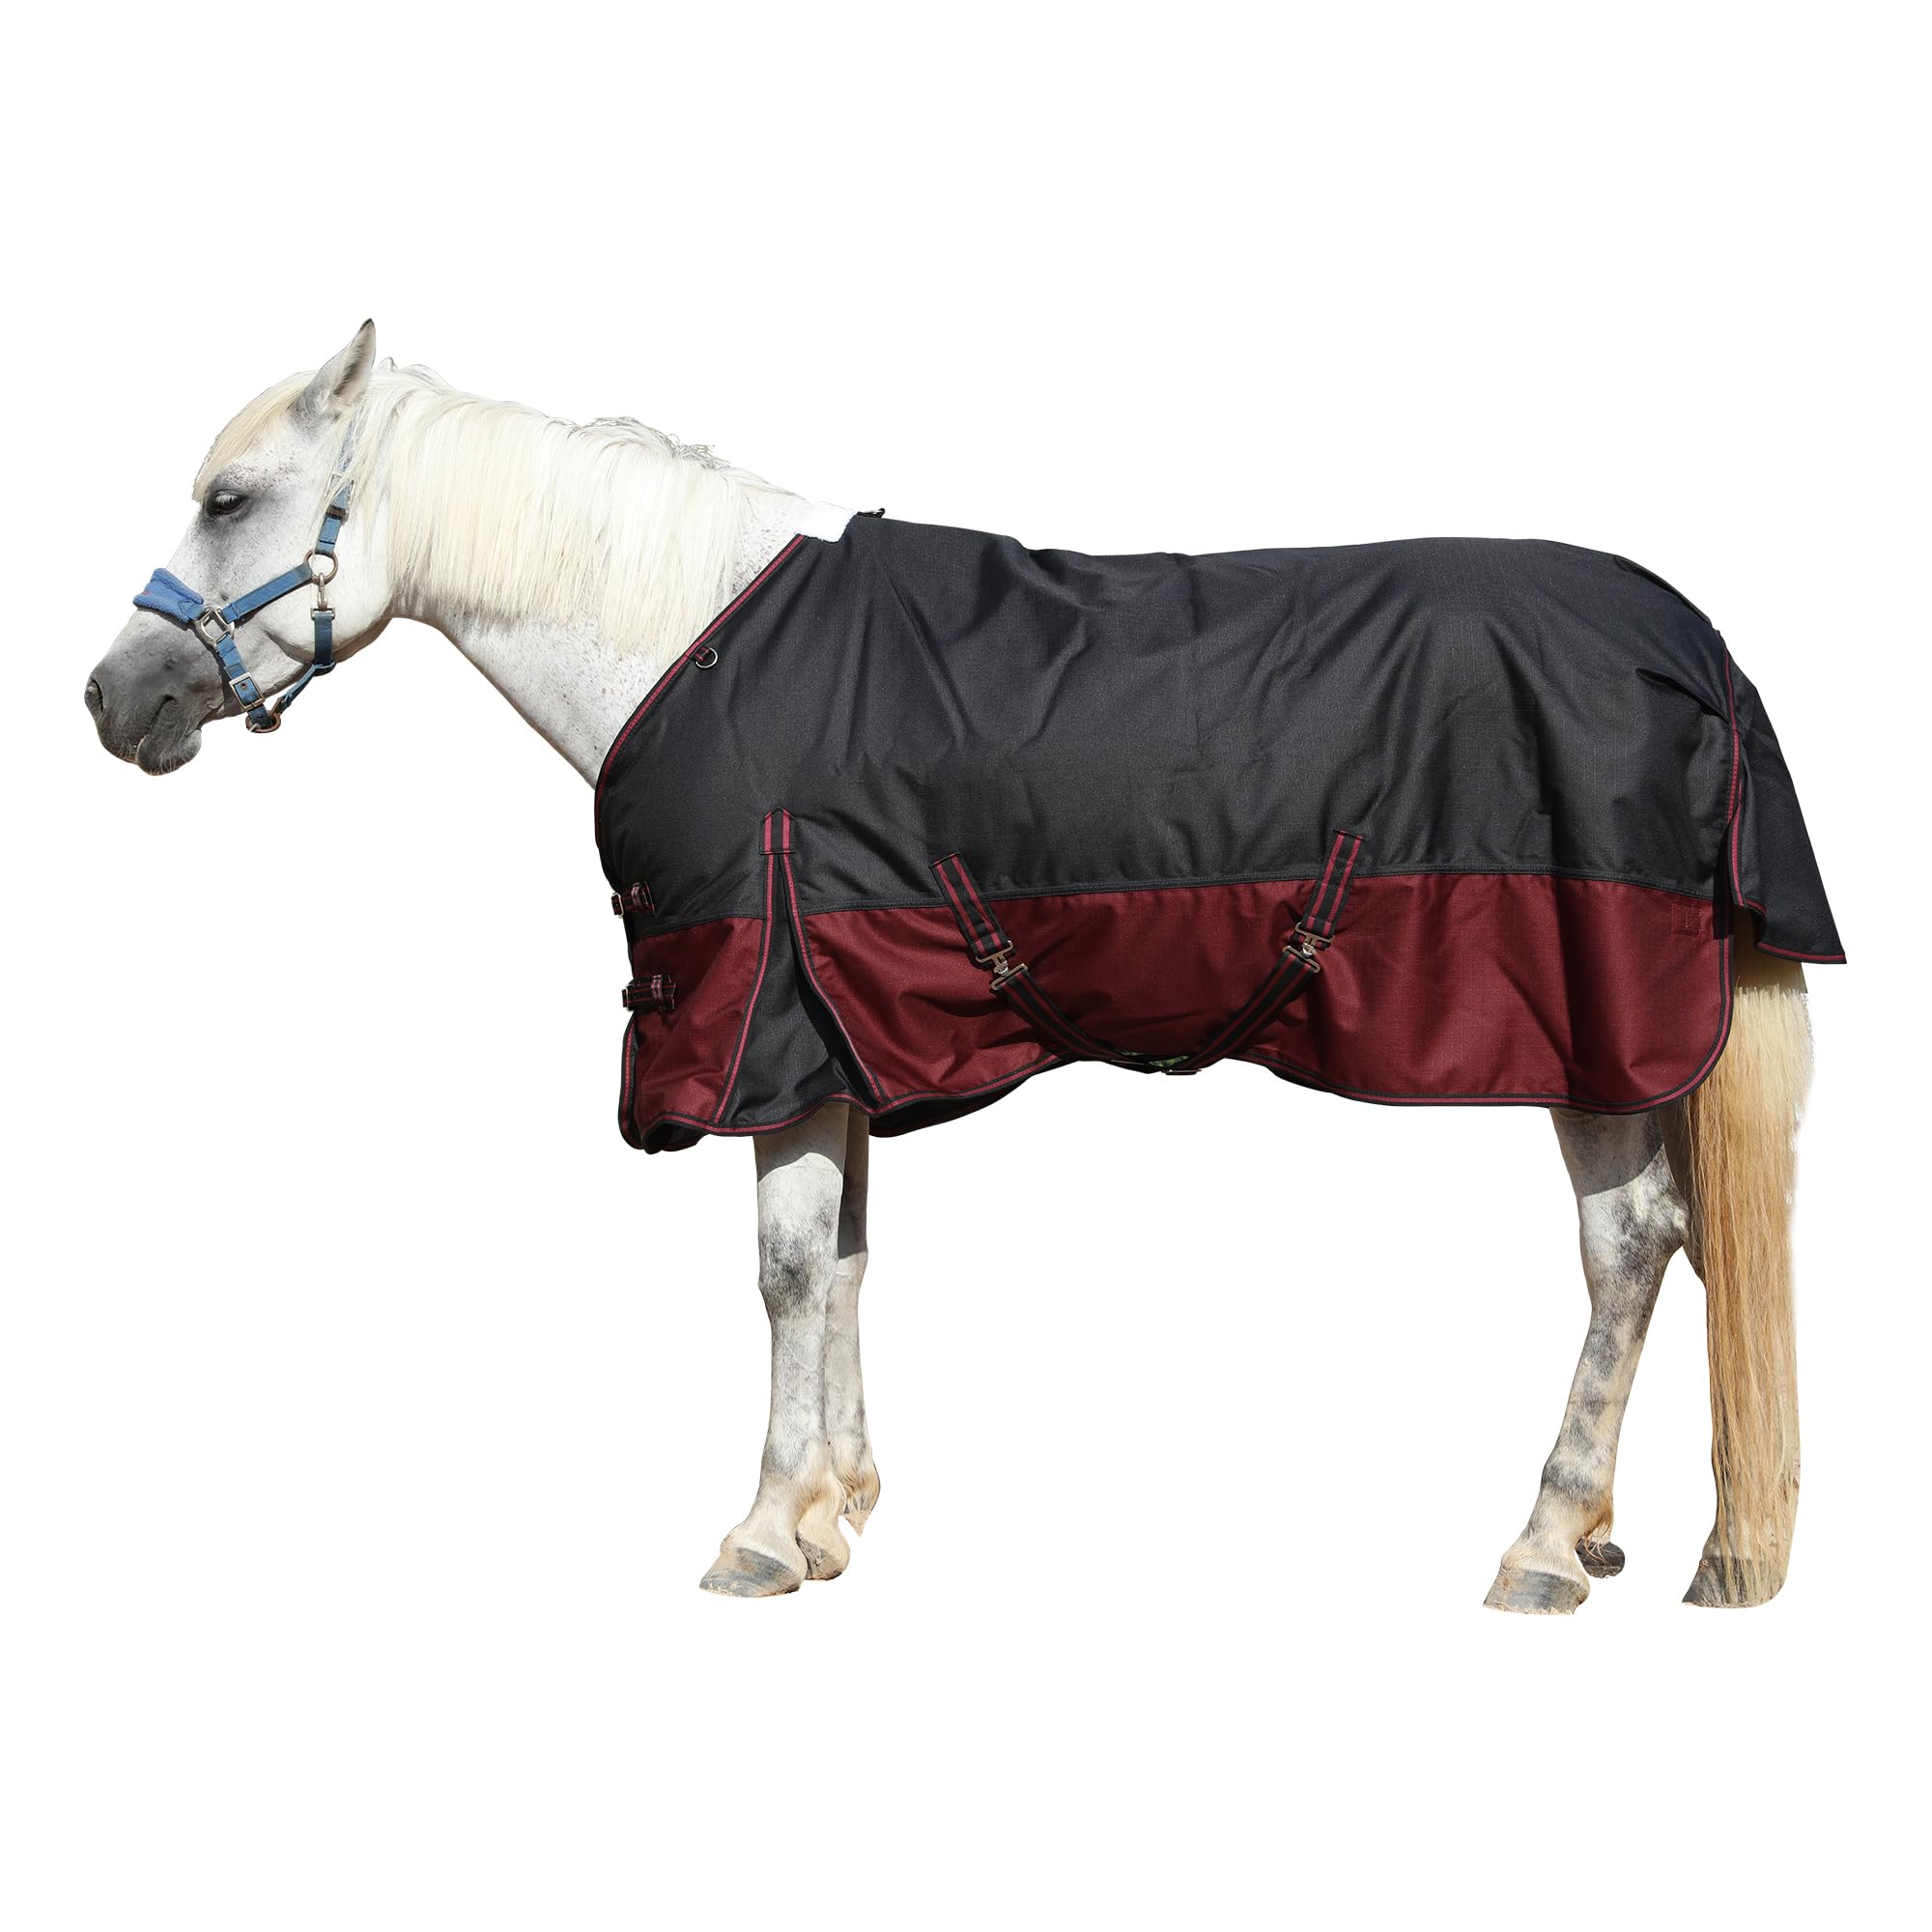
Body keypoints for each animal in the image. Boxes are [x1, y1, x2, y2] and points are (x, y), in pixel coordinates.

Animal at [86, 323, 1827, 1611]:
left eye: (231, 498)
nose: (113, 699)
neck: (689, 641)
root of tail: (1699, 654)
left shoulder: (769, 1022)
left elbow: (785, 1268)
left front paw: (761, 1535)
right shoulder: (844, 1028)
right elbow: (850, 1258)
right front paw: (837, 1510)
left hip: (1591, 1036)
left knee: (1627, 1247)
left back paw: (1542, 1542)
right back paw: (1597, 1530)